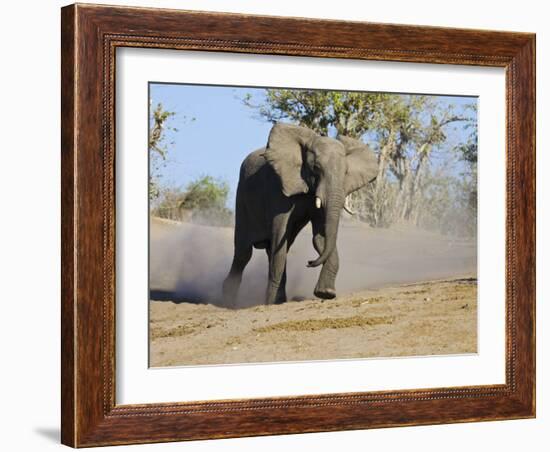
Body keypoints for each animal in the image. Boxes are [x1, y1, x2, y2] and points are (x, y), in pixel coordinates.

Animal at [223, 122, 380, 306]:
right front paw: (269, 304)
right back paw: (228, 301)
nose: (310, 262)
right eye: (316, 168)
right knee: (243, 253)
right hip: (242, 200)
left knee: (275, 248)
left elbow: (320, 237)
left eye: (346, 172)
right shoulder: (278, 188)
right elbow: (280, 235)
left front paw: (325, 293)